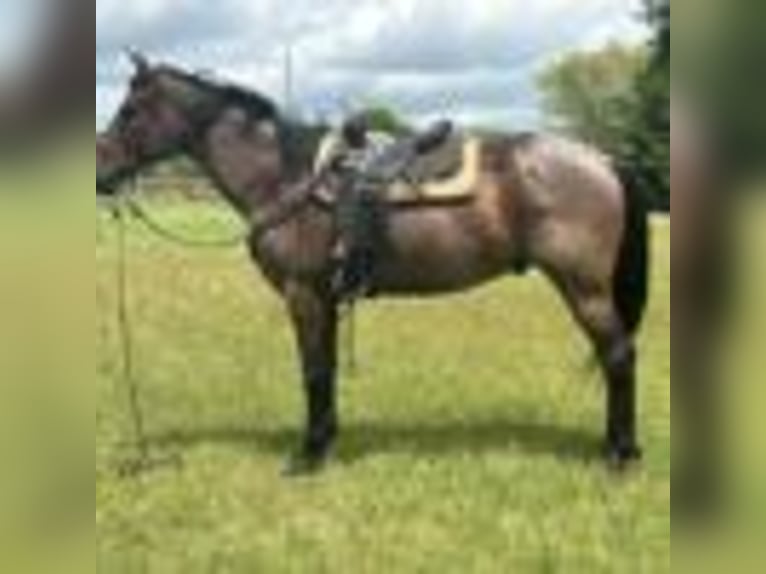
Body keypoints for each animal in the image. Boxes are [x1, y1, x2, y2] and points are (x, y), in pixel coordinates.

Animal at [97, 54, 650, 475]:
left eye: (130, 110)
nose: (101, 173)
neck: (286, 179)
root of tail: (601, 160)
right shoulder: (324, 298)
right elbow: (326, 368)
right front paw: (325, 442)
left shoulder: (304, 295)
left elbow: (313, 370)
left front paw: (308, 456)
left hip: (584, 288)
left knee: (618, 355)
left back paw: (621, 456)